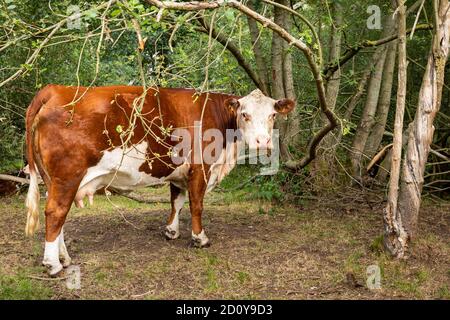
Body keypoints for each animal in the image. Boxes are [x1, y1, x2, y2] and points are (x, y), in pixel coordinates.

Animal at [24, 85, 294, 276]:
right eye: (244, 114)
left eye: (272, 115)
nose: (263, 142)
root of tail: (55, 89)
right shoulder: (201, 168)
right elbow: (197, 205)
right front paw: (200, 238)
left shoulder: (179, 171)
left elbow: (177, 201)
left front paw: (171, 231)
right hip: (67, 176)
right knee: (55, 212)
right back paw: (53, 264)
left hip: (53, 179)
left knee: (57, 215)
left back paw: (64, 258)